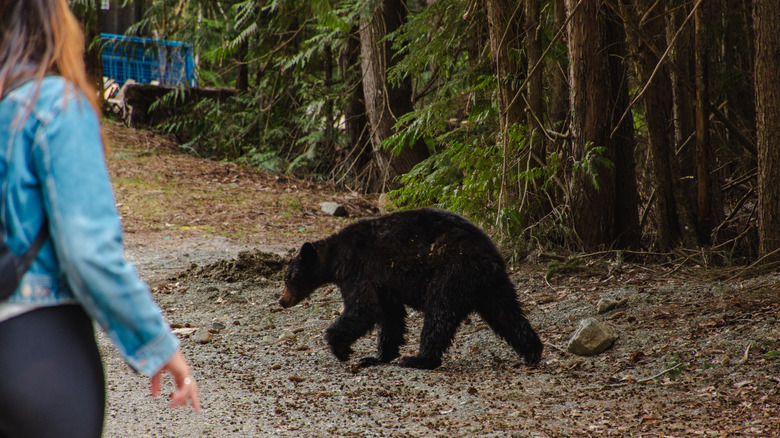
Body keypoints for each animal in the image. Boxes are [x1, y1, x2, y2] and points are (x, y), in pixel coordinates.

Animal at [279, 208, 543, 370]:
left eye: (288, 278)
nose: (282, 301)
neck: (334, 257)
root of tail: (489, 257)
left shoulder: (357, 269)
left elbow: (364, 308)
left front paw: (341, 349)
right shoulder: (383, 283)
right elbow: (390, 316)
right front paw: (377, 356)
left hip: (452, 272)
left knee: (439, 314)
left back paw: (419, 359)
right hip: (493, 286)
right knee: (507, 314)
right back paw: (532, 354)